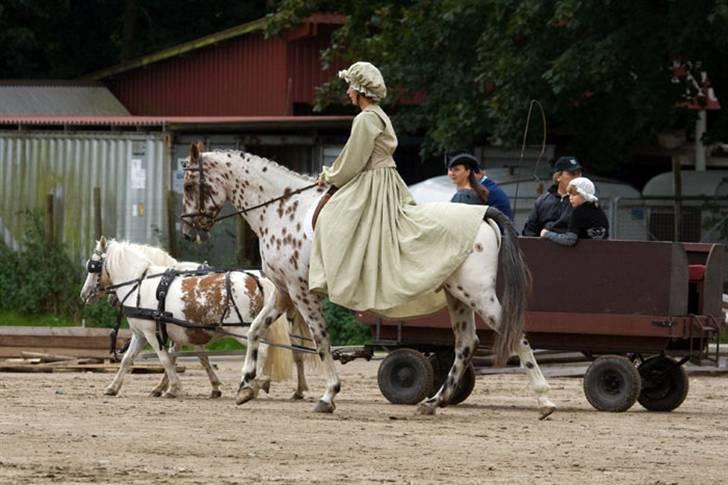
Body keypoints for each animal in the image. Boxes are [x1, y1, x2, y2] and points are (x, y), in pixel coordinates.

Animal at [82, 236, 302, 398]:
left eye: (92, 266)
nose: (84, 294)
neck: (140, 284)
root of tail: (256, 278)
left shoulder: (153, 333)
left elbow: (165, 358)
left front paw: (173, 388)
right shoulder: (142, 334)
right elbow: (128, 360)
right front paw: (113, 387)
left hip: (242, 329)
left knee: (262, 349)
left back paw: (255, 382)